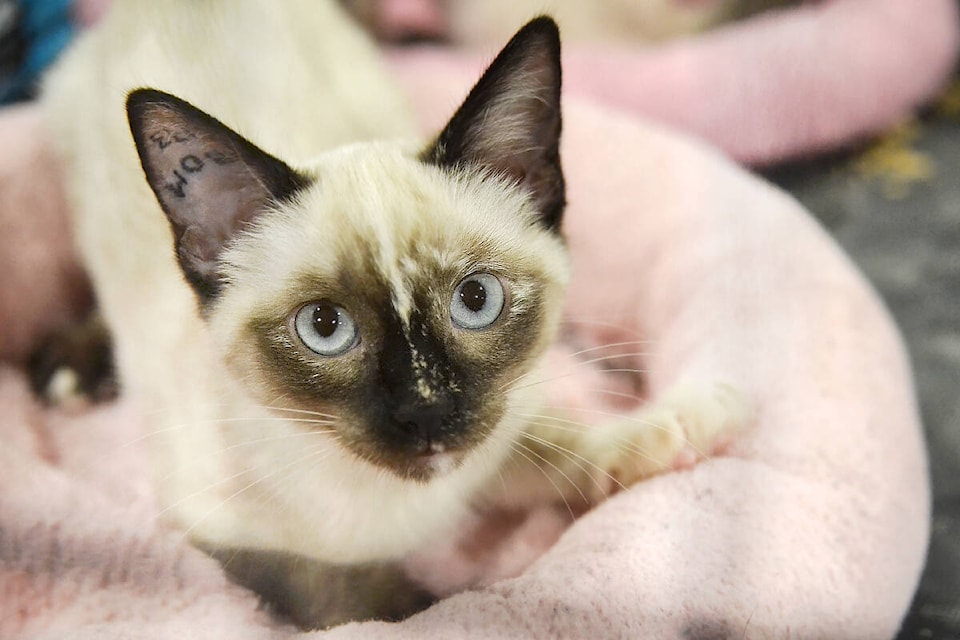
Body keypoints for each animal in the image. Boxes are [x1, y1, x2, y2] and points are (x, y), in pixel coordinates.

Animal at [41, 0, 748, 632]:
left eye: (476, 301)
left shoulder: (490, 444)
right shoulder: (210, 525)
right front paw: (446, 607)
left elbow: (561, 447)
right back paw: (69, 375)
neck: (414, 508)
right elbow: (342, 592)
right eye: (325, 328)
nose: (426, 409)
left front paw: (675, 430)